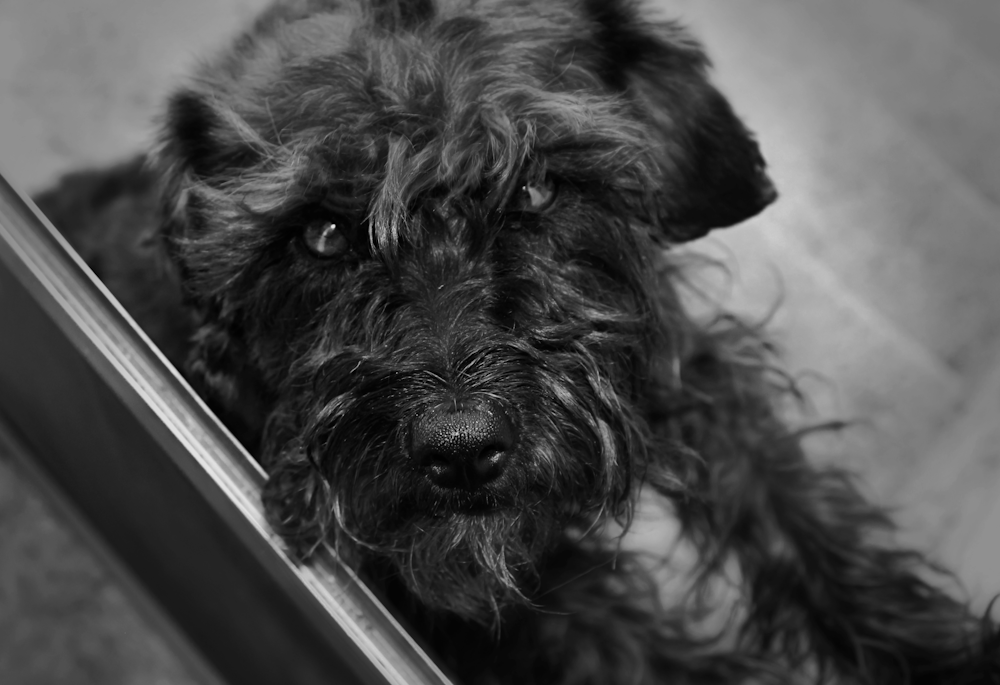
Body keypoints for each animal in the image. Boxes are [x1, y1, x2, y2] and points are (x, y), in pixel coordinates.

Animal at [33, 0, 1000, 680]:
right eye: (323, 234)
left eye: (535, 187)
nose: (461, 450)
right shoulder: (490, 605)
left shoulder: (674, 371)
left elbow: (803, 520)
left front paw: (942, 654)